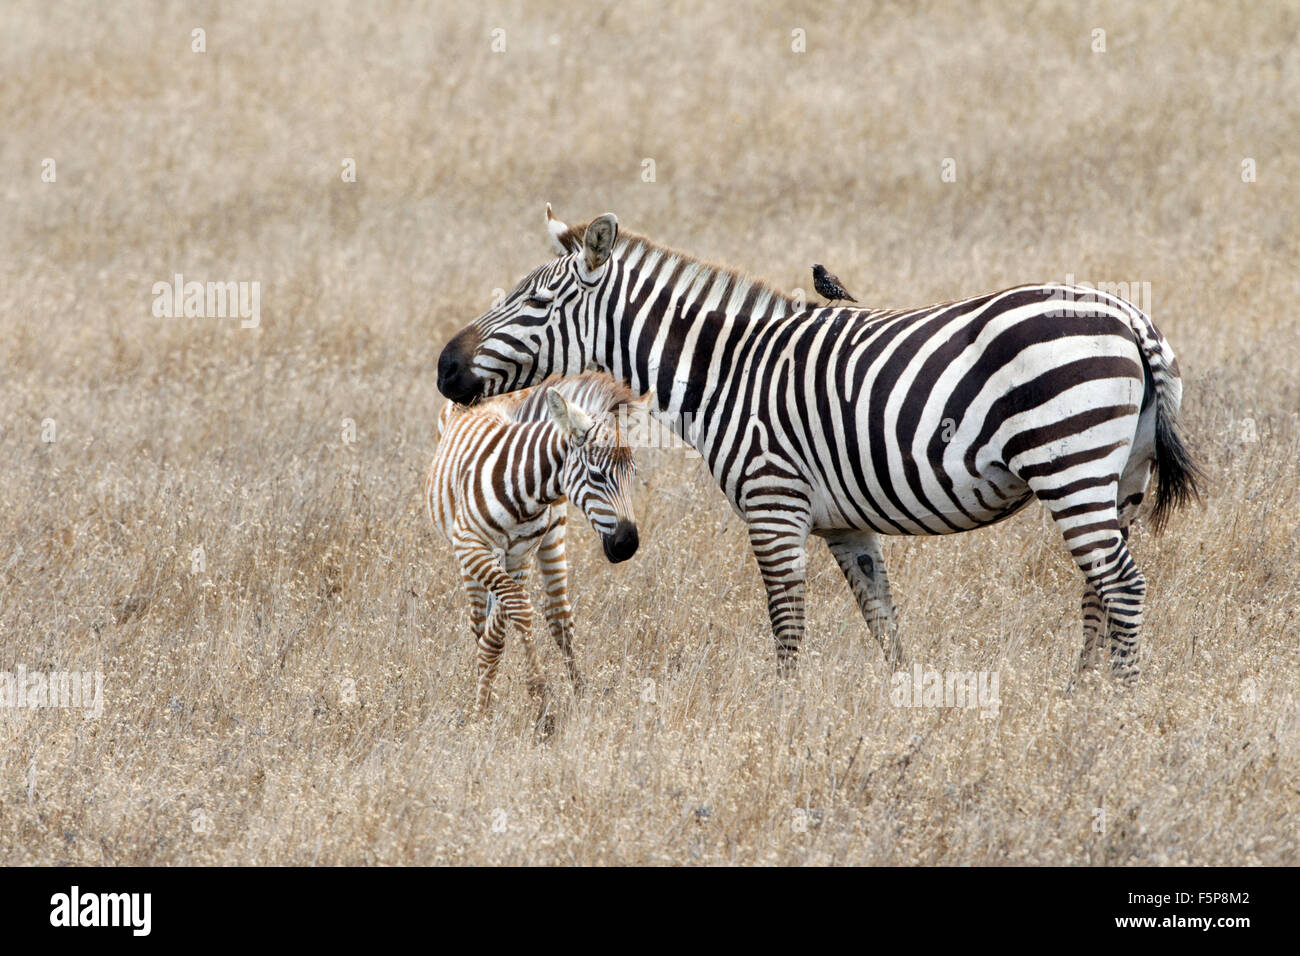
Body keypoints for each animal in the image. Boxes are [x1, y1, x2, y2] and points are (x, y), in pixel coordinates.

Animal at [441, 209, 1201, 686]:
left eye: (536, 303)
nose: (445, 367)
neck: (728, 371)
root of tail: (1131, 317)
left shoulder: (772, 503)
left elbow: (785, 623)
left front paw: (786, 717)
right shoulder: (845, 526)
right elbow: (882, 620)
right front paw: (903, 700)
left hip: (1069, 462)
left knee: (1121, 585)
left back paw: (1120, 704)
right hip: (1120, 481)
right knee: (1098, 591)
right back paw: (1080, 696)